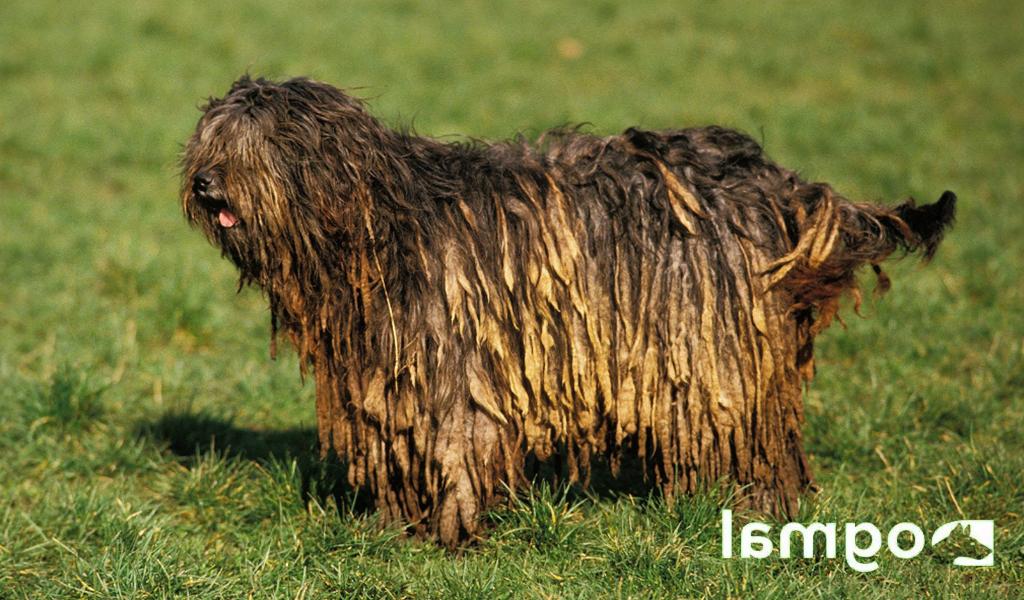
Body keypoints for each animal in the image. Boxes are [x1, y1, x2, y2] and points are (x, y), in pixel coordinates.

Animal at [180, 75, 954, 544]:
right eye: (209, 143)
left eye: (253, 147)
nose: (205, 183)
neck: (376, 227)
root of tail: (782, 187)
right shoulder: (384, 379)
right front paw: (399, 525)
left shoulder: (454, 368)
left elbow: (456, 446)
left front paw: (450, 534)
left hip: (715, 347)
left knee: (750, 434)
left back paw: (752, 507)